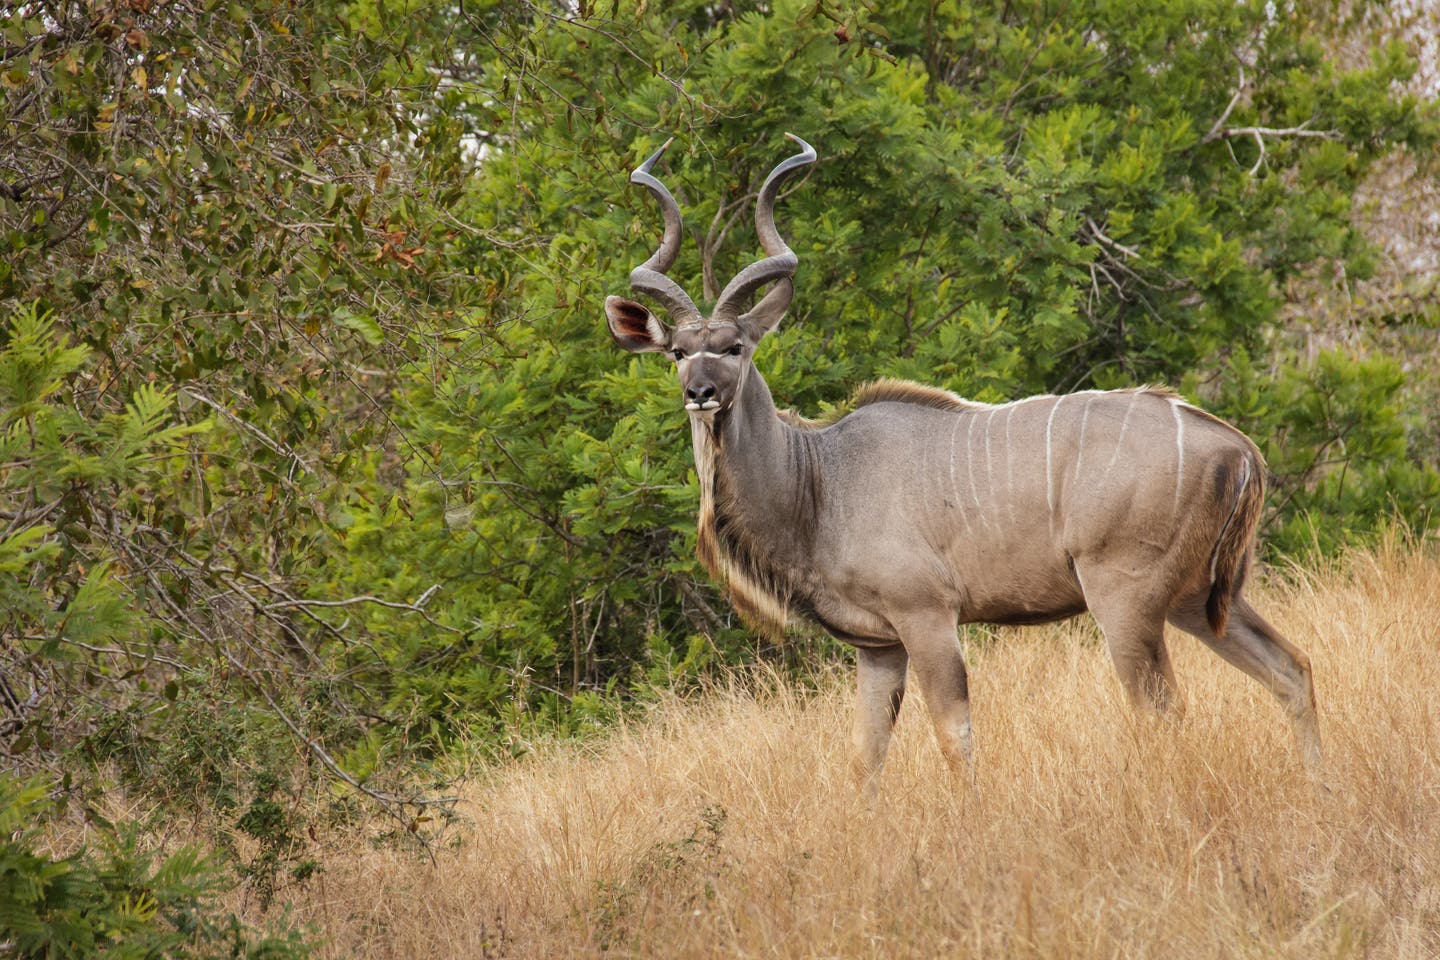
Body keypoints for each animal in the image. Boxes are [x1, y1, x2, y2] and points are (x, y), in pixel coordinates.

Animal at [601, 133, 1319, 788]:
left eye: (736, 347)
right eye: (677, 352)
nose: (701, 392)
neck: (820, 481)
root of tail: (1238, 449)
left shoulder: (928, 618)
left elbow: (955, 738)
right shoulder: (878, 646)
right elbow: (866, 760)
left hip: (1127, 599)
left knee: (1162, 709)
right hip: (1200, 599)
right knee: (1293, 669)